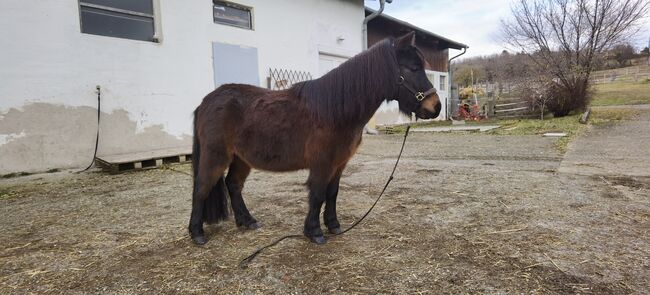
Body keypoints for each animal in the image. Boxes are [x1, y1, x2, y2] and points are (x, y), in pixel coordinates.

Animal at [189, 31, 440, 245]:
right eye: (413, 68)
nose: (435, 107)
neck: (335, 110)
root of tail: (206, 101)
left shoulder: (339, 163)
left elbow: (332, 193)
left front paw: (333, 225)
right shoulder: (322, 163)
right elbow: (318, 193)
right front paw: (315, 232)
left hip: (241, 158)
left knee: (233, 184)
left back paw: (248, 221)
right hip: (216, 156)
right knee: (202, 186)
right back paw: (197, 233)